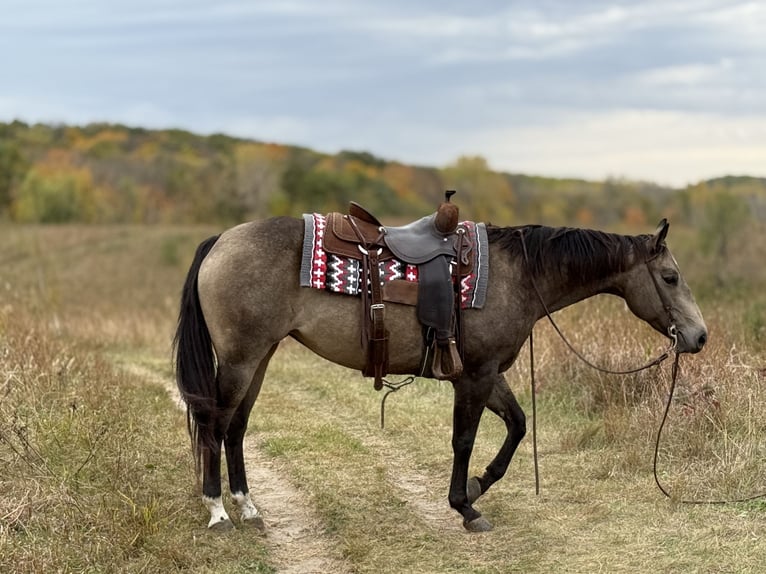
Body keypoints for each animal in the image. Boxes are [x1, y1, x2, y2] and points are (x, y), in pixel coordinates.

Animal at [173, 215, 707, 533]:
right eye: (670, 278)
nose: (699, 336)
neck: (518, 275)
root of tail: (221, 240)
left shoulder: (488, 372)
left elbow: (517, 425)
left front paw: (477, 486)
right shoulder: (475, 375)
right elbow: (464, 439)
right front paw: (464, 505)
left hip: (260, 357)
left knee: (236, 427)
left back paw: (248, 506)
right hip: (241, 359)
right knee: (215, 425)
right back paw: (218, 510)